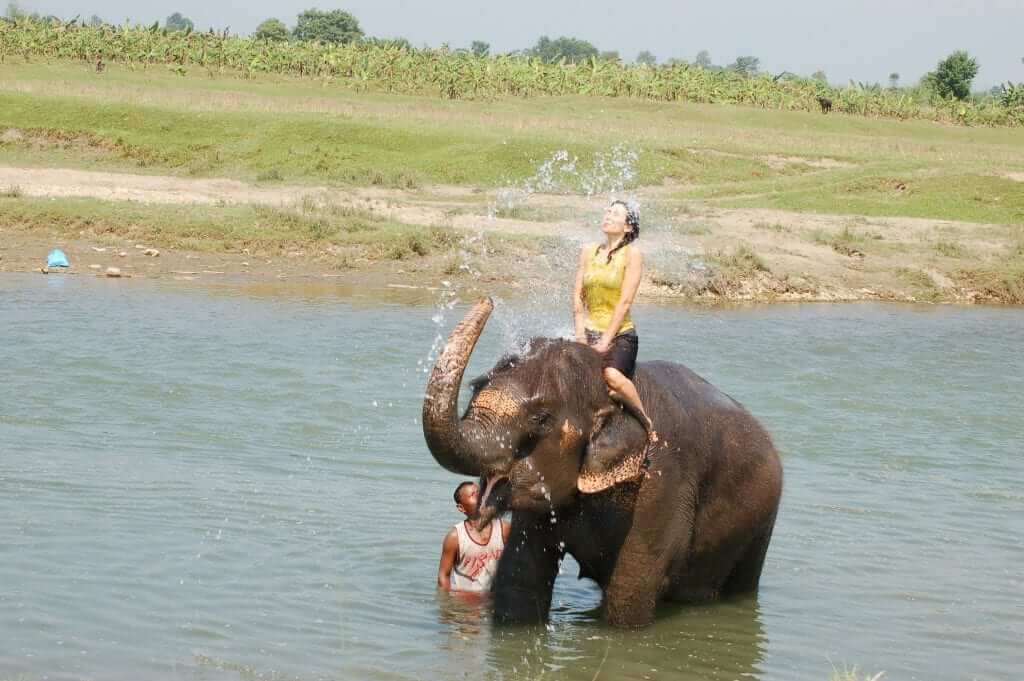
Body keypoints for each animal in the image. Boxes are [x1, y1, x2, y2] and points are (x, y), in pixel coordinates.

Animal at [423, 299, 782, 627]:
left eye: (541, 419)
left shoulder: (663, 484)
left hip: (761, 524)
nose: (489, 300)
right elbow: (520, 578)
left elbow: (630, 594)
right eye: (475, 388)